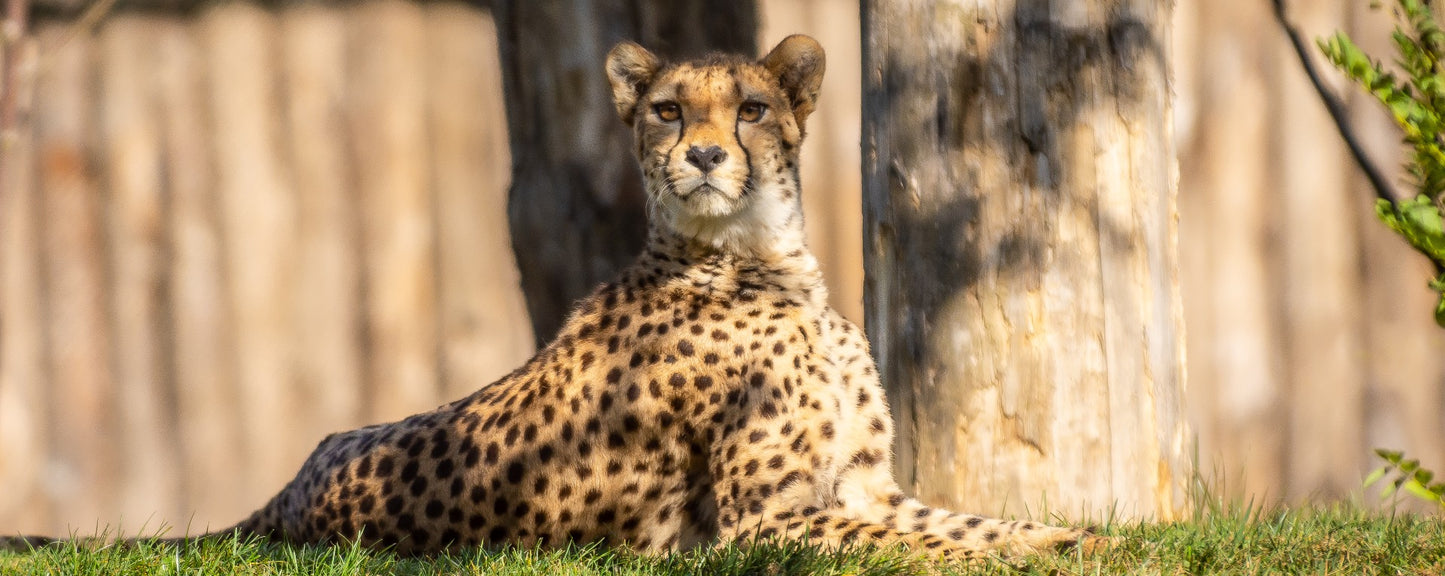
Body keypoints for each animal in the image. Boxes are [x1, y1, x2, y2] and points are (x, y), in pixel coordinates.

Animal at [5, 35, 1098, 560]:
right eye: (668, 111)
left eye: (750, 109)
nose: (706, 155)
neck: (759, 257)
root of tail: (281, 495)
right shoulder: (767, 525)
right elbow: (924, 553)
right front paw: (1043, 554)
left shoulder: (861, 487)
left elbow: (964, 528)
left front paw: (1065, 539)